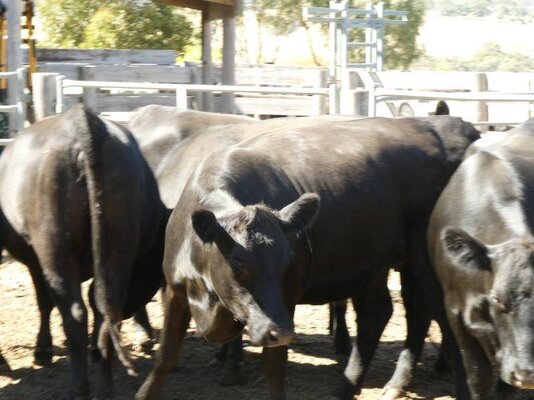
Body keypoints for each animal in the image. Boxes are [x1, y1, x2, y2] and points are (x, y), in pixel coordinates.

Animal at [0, 104, 166, 398]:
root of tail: (82, 121)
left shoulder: (37, 262)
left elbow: (44, 301)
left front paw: (43, 349)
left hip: (55, 246)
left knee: (75, 314)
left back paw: (78, 388)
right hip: (117, 238)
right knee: (106, 307)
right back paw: (104, 387)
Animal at [136, 114, 480, 398]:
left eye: (287, 262)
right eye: (237, 263)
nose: (279, 331)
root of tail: (442, 125)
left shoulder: (286, 299)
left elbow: (274, 367)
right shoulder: (175, 290)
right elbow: (166, 356)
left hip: (425, 264)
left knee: (439, 319)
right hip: (377, 264)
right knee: (382, 314)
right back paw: (356, 388)